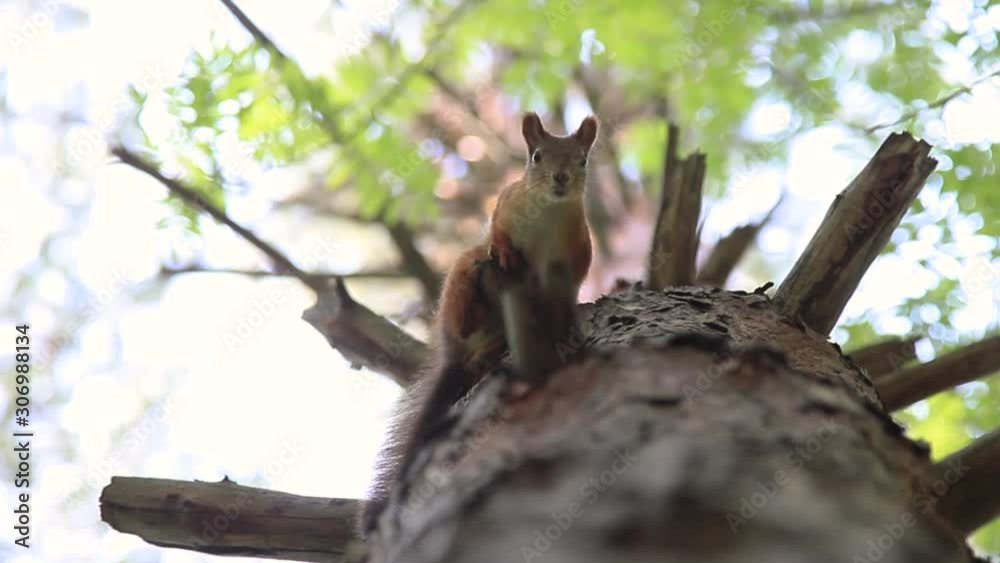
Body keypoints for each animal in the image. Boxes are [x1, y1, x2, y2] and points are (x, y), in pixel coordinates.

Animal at [360, 112, 599, 536]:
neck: (548, 213)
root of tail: (453, 356)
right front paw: (504, 252)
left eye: (582, 159)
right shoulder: (506, 205)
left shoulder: (574, 257)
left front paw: (572, 331)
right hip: (461, 284)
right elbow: (499, 229)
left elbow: (569, 297)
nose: (561, 178)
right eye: (536, 156)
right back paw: (475, 305)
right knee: (469, 292)